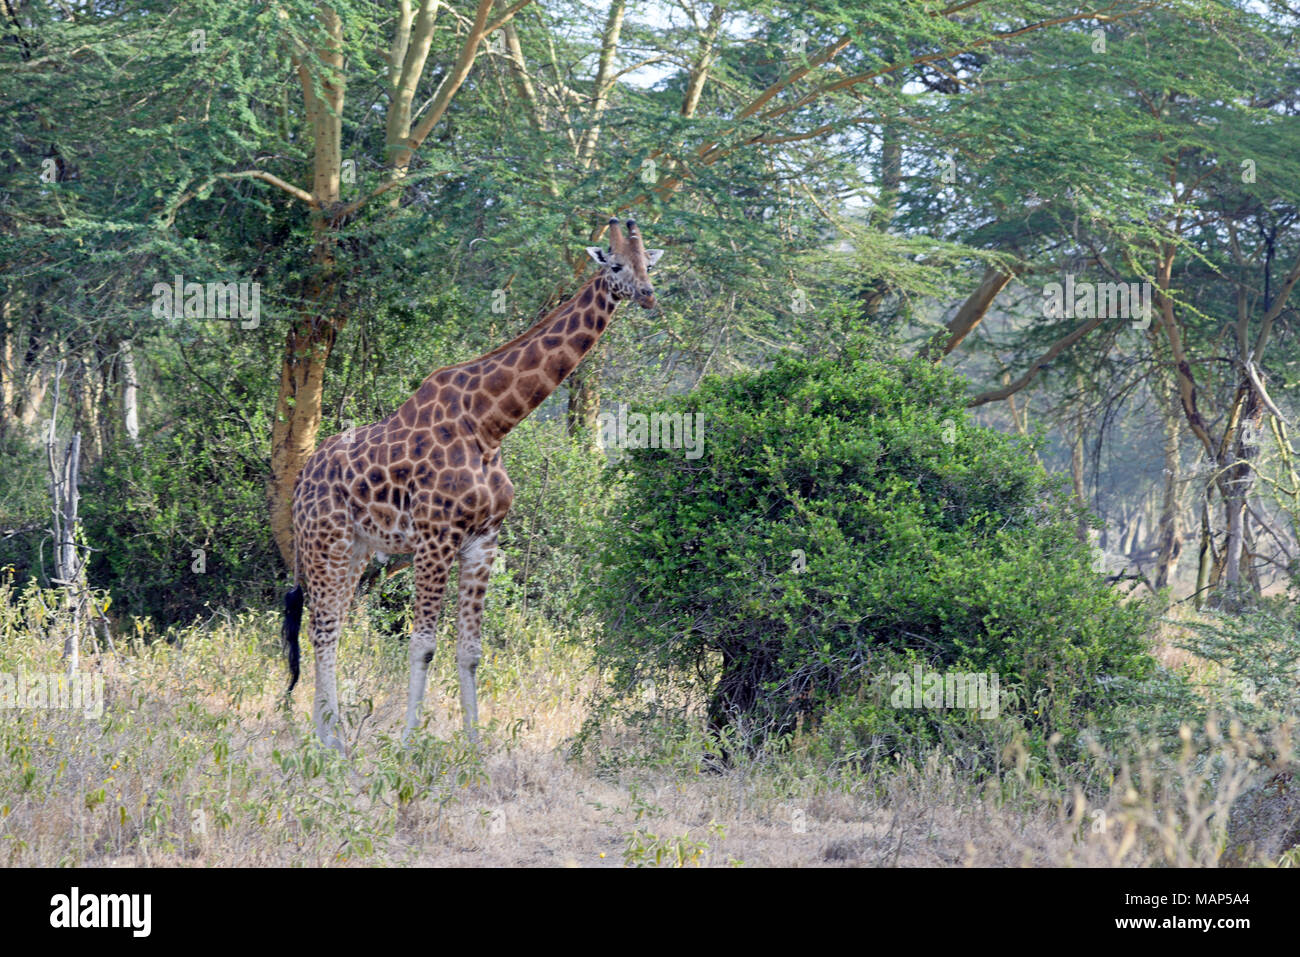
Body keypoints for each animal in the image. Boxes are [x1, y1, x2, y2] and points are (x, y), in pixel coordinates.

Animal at [281, 218, 664, 750]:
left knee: (330, 624)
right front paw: (409, 743)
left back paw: (327, 735)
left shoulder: (484, 541)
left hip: (356, 547)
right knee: (323, 625)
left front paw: (475, 746)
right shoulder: (435, 538)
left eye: (650, 263)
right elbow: (423, 644)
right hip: (326, 541)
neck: (490, 424)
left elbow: (470, 650)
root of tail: (301, 480)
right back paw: (331, 738)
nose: (648, 294)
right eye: (617, 265)